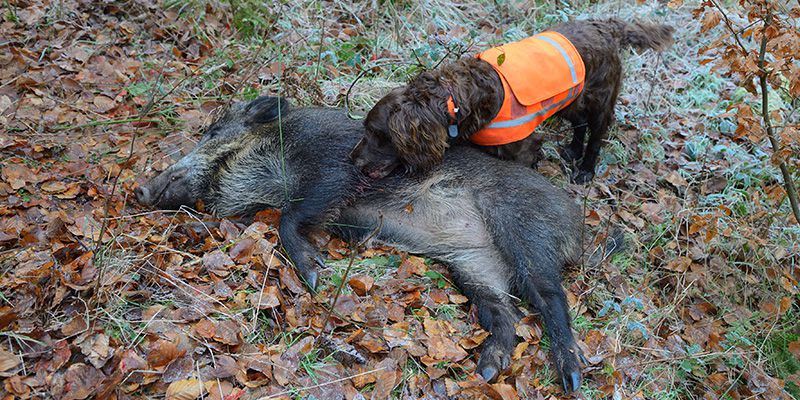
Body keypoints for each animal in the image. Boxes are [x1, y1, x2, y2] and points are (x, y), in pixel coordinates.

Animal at [354, 17, 672, 183]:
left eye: (377, 134)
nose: (351, 160)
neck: (455, 100)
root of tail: (603, 25)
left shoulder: (523, 150)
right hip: (571, 101)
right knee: (579, 125)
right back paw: (571, 151)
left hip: (600, 101)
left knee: (597, 133)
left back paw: (585, 170)